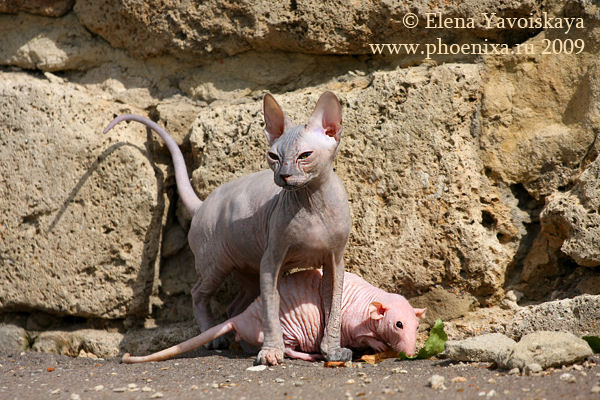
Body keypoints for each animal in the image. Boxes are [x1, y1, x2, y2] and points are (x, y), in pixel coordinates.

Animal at [104, 91, 352, 366]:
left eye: (304, 156)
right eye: (274, 157)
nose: (284, 176)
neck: (311, 203)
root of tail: (202, 205)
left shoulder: (335, 260)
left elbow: (333, 306)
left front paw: (332, 350)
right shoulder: (271, 260)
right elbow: (270, 308)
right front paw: (271, 351)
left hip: (248, 268)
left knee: (235, 307)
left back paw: (243, 344)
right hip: (216, 263)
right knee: (198, 293)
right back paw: (216, 339)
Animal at [122, 270, 426, 364]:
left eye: (415, 325)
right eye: (398, 324)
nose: (411, 353)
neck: (373, 299)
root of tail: (242, 318)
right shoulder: (351, 321)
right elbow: (360, 334)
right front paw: (377, 344)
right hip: (286, 327)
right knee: (289, 350)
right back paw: (309, 355)